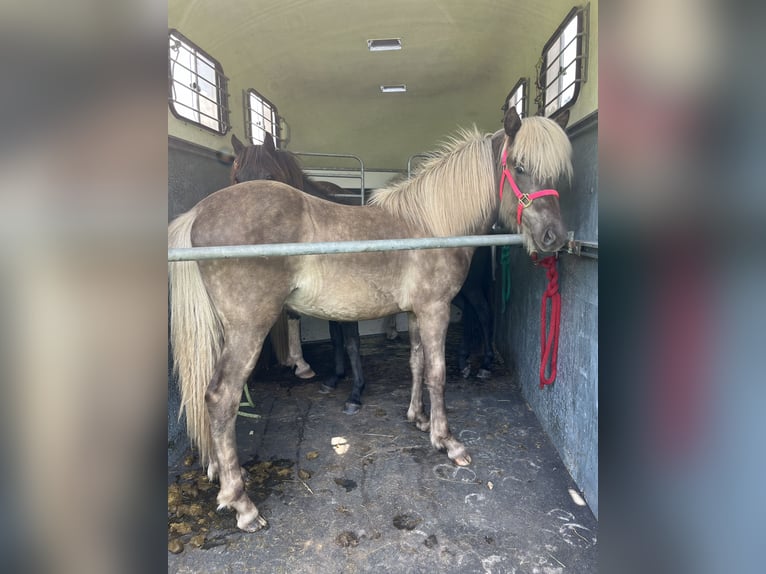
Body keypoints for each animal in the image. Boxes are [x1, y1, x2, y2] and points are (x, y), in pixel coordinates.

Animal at [228, 134, 368, 414]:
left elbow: (350, 341)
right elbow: (336, 339)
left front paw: (355, 394)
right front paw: (334, 379)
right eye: (237, 179)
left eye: (270, 178)